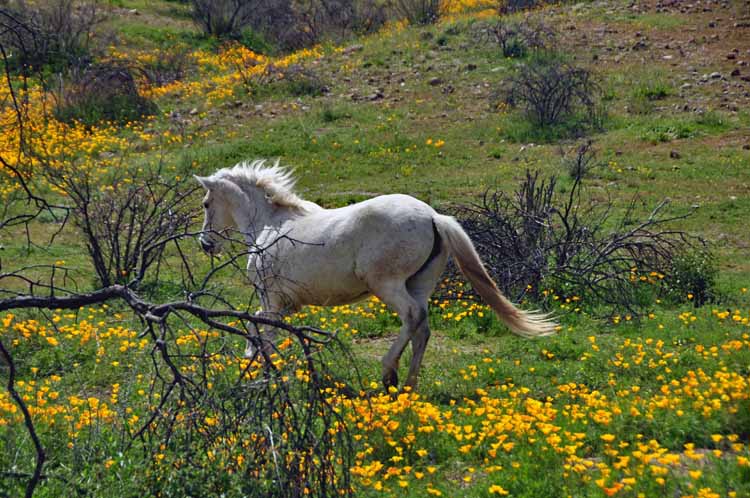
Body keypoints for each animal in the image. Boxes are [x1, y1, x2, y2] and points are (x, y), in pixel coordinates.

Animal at [195, 160, 560, 390]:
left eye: (205, 203)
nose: (205, 244)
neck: (270, 225)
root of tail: (433, 217)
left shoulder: (270, 299)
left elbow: (261, 332)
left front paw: (266, 376)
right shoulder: (283, 304)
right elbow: (258, 331)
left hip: (388, 284)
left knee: (412, 318)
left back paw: (389, 373)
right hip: (420, 284)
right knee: (423, 327)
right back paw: (410, 384)